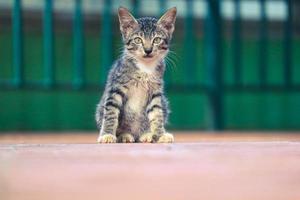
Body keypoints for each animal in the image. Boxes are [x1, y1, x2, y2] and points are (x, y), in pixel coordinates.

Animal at [95, 7, 176, 143]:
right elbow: (111, 114)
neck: (145, 68)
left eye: (157, 40)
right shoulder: (115, 88)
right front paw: (107, 134)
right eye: (138, 40)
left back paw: (147, 134)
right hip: (101, 108)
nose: (148, 50)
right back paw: (124, 135)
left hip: (164, 103)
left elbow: (157, 114)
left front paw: (160, 134)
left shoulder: (155, 92)